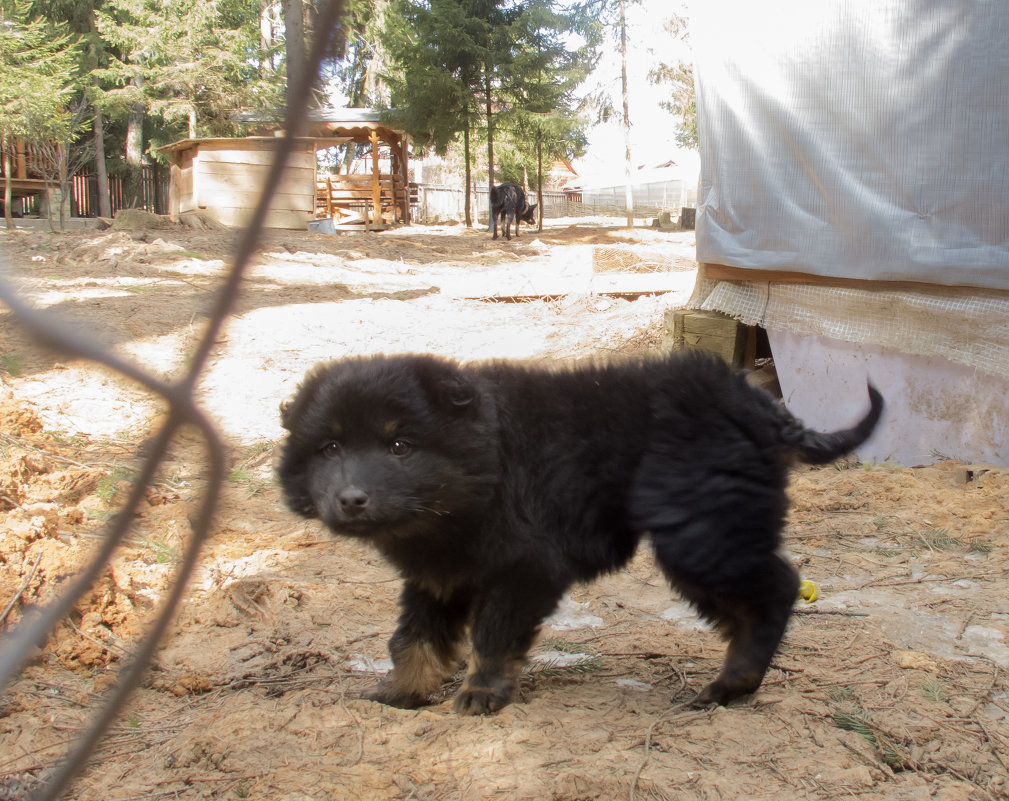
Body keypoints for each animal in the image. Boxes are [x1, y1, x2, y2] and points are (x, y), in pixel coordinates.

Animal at [278, 353, 883, 714]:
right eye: (330, 448)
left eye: (400, 445)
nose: (351, 499)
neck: (481, 465)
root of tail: (757, 406)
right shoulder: (440, 576)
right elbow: (414, 637)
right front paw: (402, 691)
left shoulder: (525, 567)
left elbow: (493, 636)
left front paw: (480, 692)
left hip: (700, 532)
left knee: (774, 590)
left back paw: (732, 682)